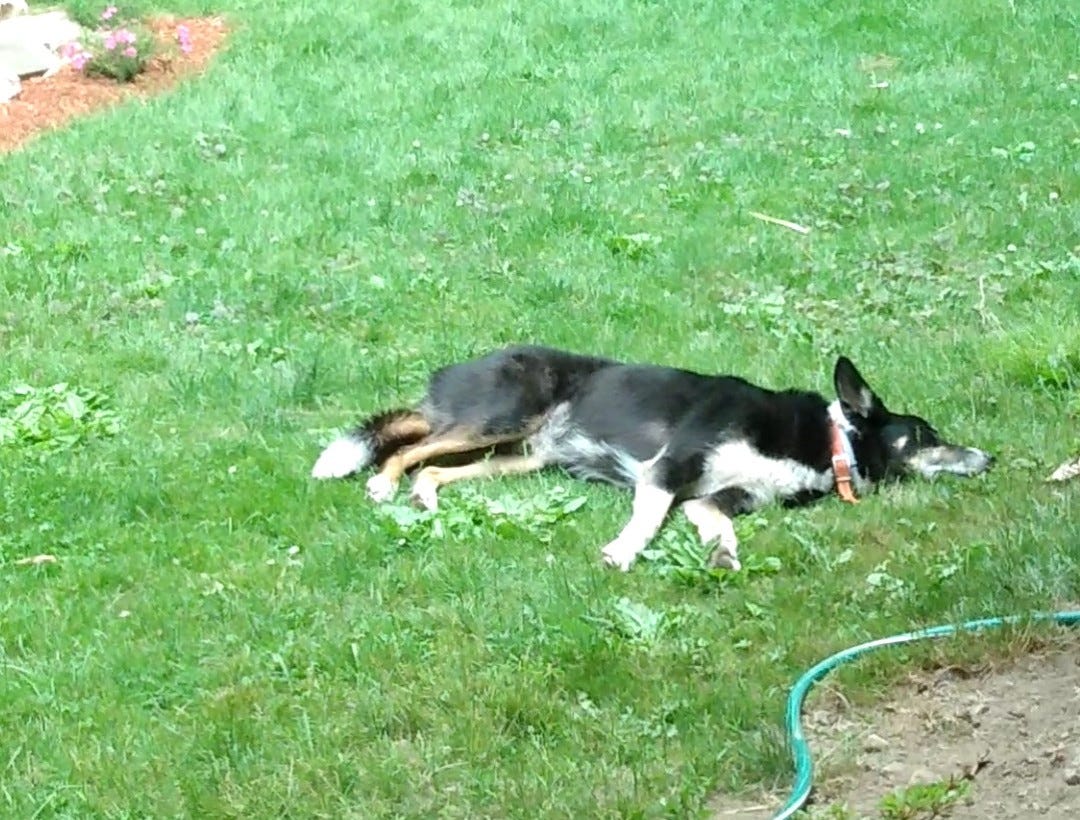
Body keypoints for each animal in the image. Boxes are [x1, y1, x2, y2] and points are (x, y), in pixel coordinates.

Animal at [308, 345, 989, 570]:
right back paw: (383, 484)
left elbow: (713, 524)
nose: (987, 459)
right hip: (498, 418)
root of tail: (452, 375)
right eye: (924, 434)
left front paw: (722, 557)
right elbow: (649, 517)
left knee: (432, 463)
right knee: (412, 444)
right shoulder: (669, 467)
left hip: (519, 456)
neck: (829, 442)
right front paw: (622, 553)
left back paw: (423, 494)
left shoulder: (725, 497)